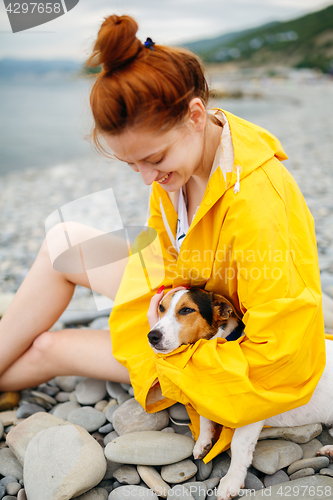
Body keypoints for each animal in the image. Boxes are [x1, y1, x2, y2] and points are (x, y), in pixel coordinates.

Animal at [147, 288, 332, 500]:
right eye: (161, 308)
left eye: (186, 310)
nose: (152, 336)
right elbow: (204, 417)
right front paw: (204, 441)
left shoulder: (251, 411)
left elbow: (238, 445)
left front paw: (232, 481)